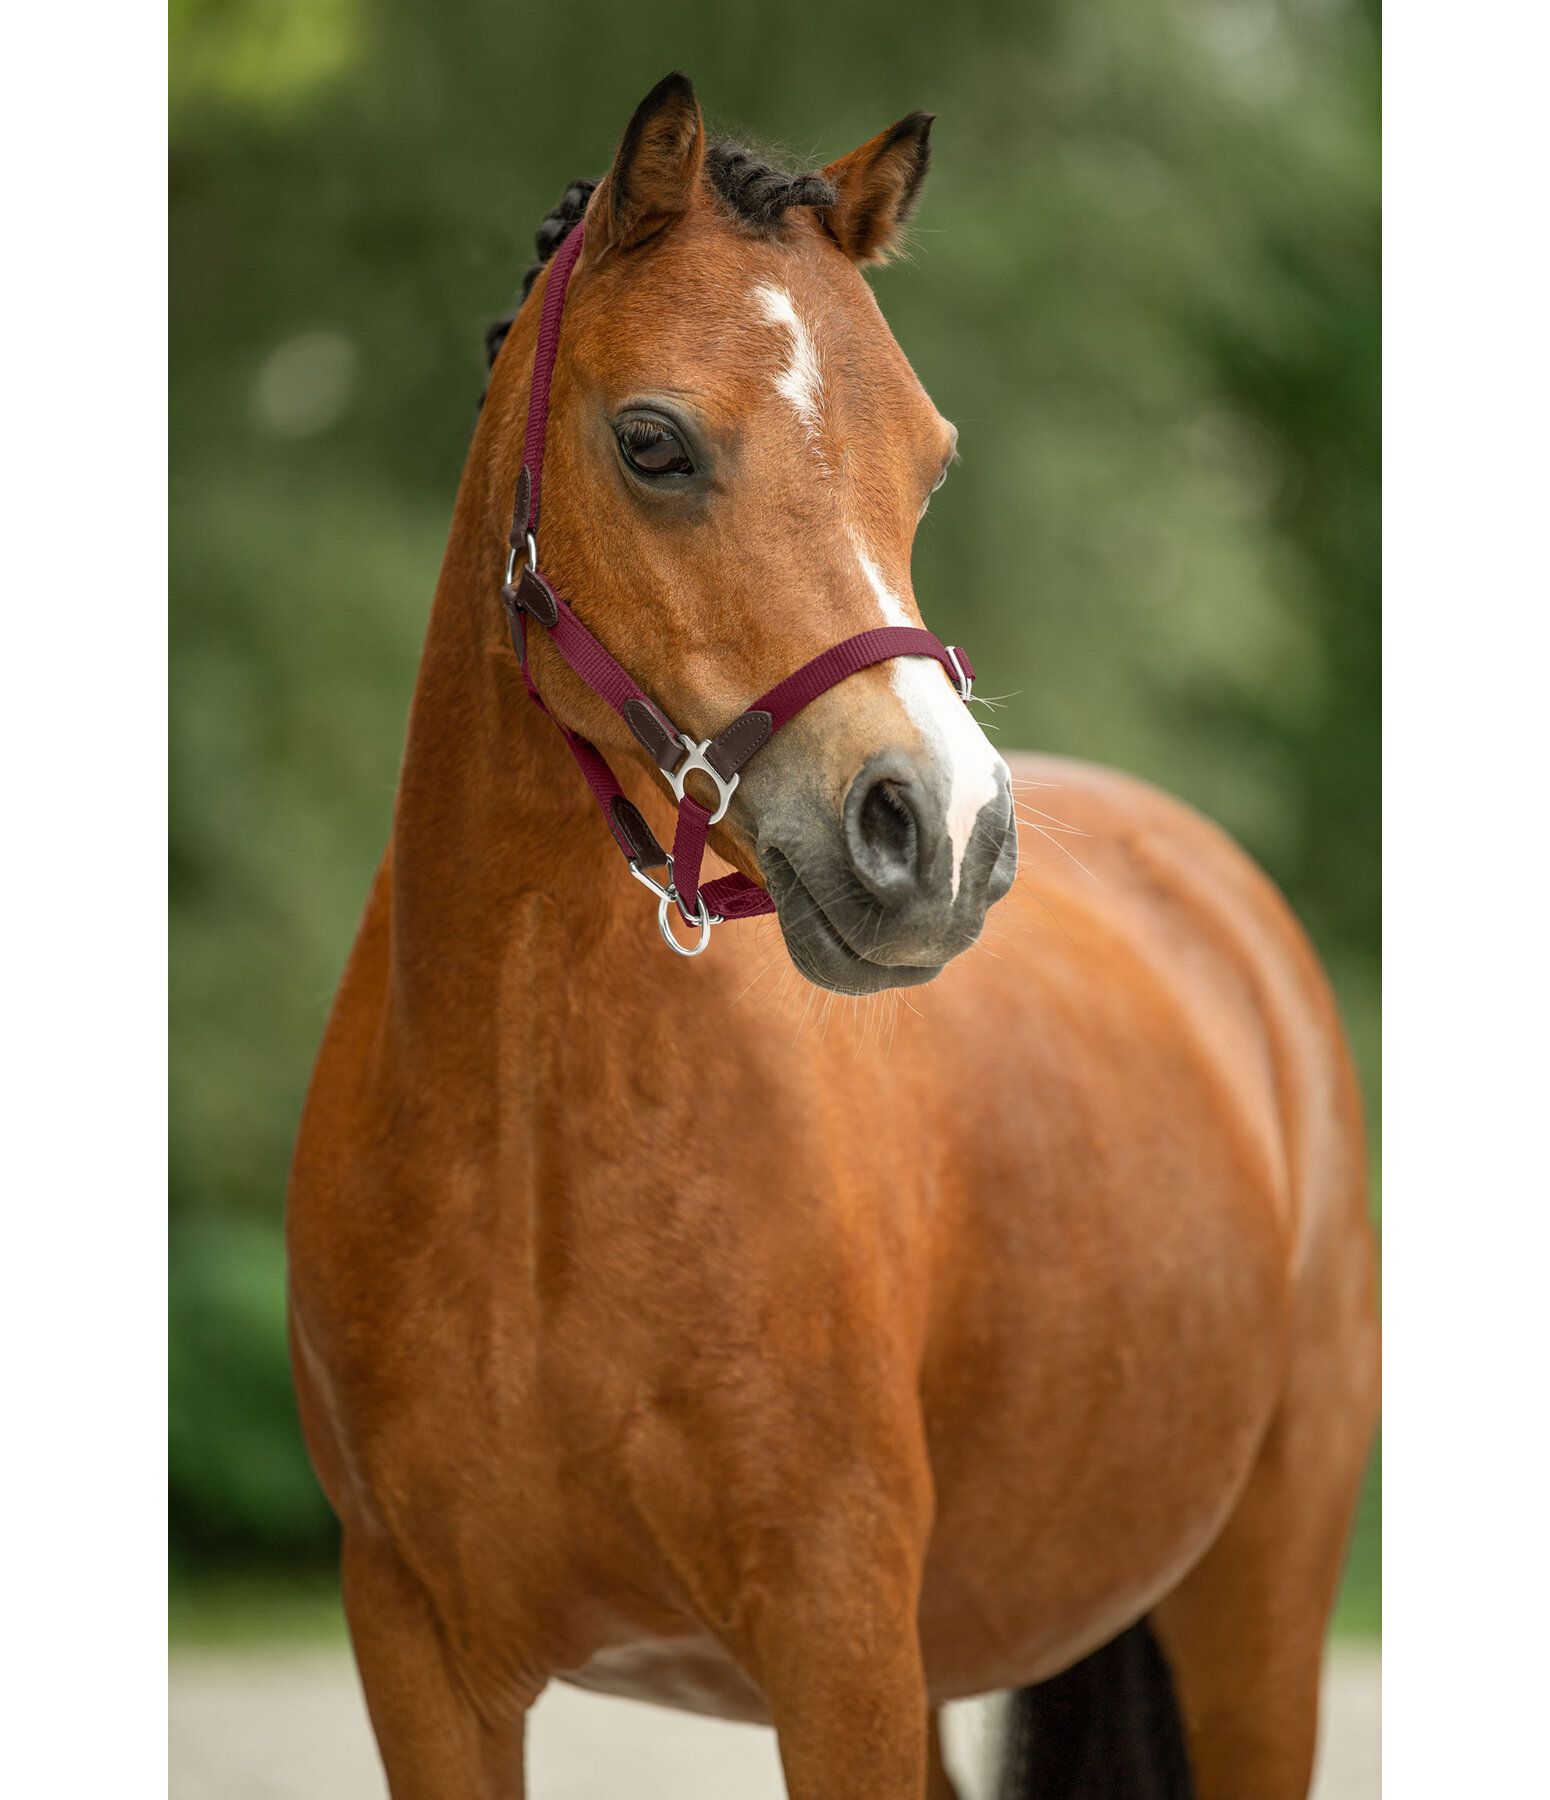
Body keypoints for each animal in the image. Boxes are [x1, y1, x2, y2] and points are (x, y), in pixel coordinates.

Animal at [288, 73, 1375, 1800]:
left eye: (925, 466)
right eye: (651, 441)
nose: (944, 837)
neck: (524, 1166)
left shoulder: (837, 1641)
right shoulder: (422, 1661)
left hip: (1255, 1612)